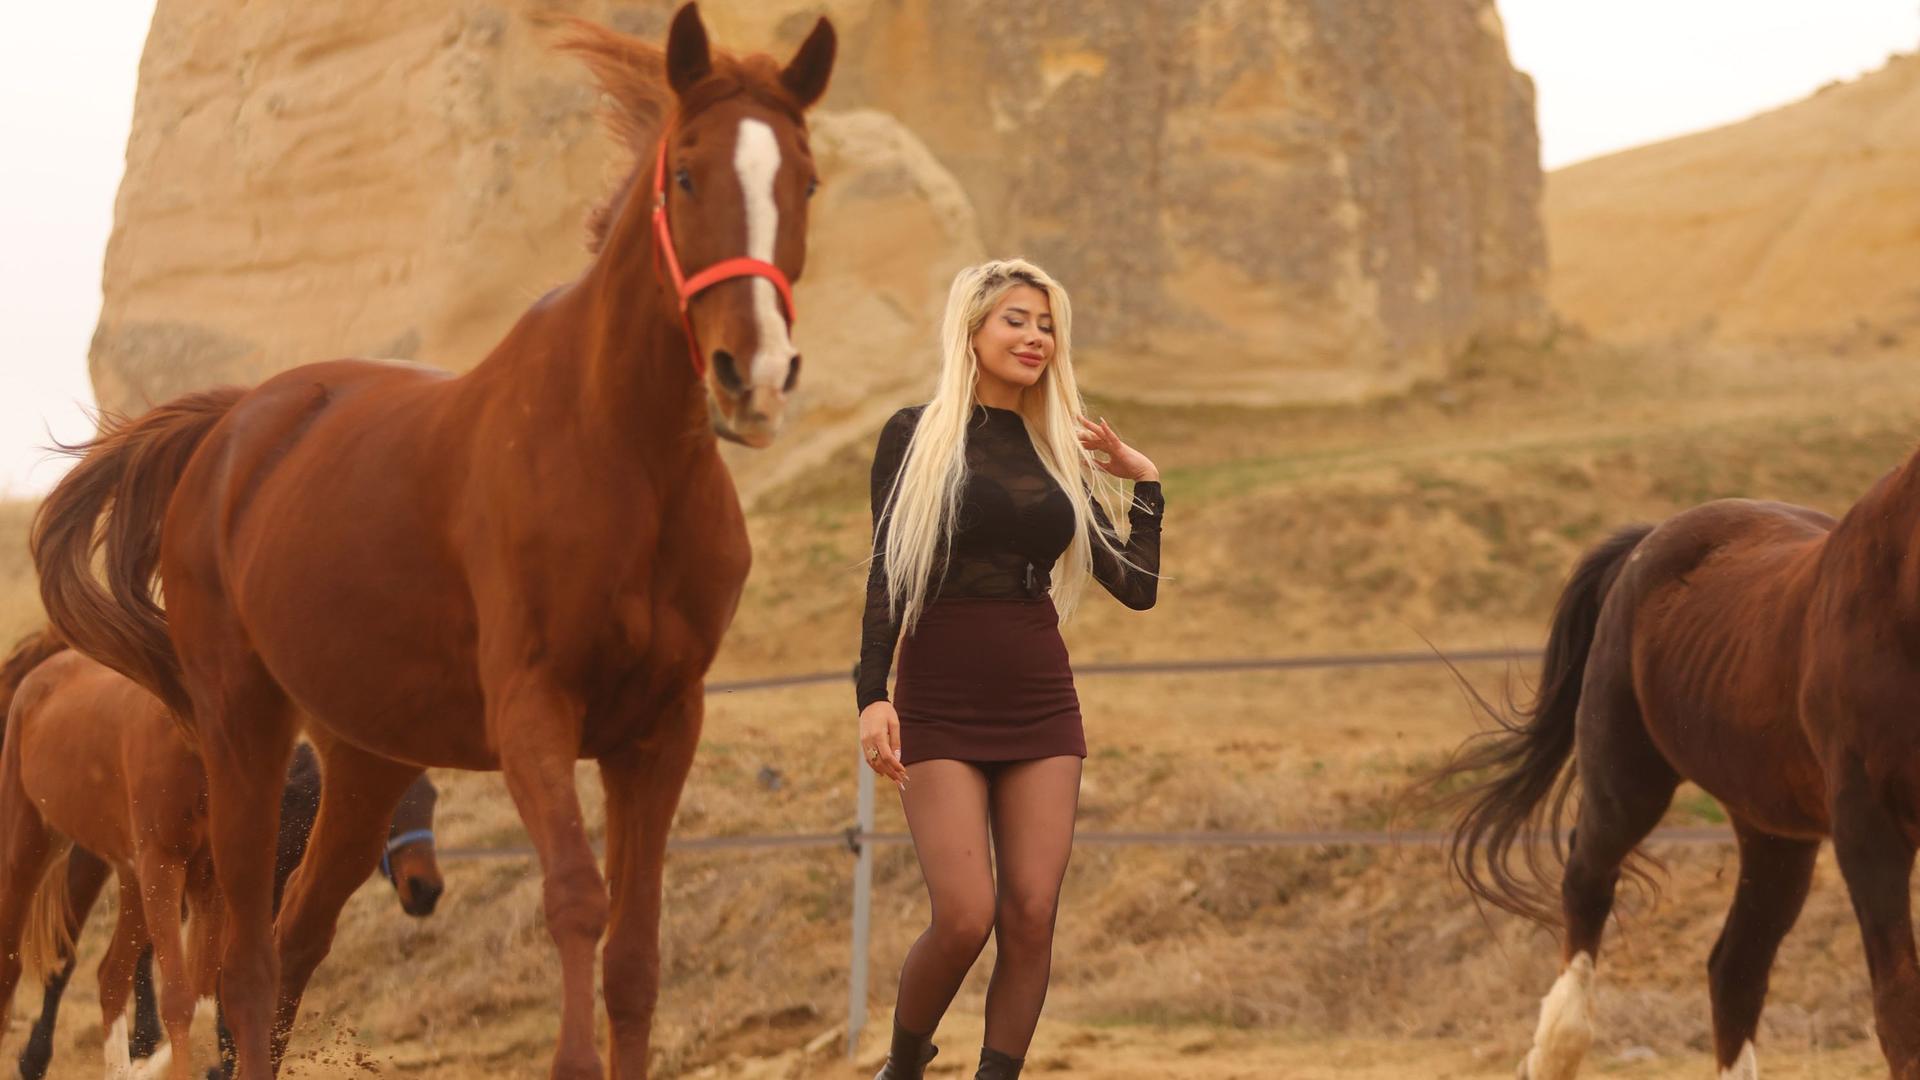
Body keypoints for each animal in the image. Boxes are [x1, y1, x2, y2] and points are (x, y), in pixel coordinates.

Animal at [30, 5, 836, 1076]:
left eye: (805, 180)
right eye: (687, 175)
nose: (755, 375)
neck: (620, 457)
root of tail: (234, 425)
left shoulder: (662, 729)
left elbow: (634, 954)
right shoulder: (535, 712)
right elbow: (575, 904)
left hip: (363, 765)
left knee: (293, 948)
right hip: (241, 734)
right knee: (243, 966)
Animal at [1427, 447, 1920, 1080]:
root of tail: (1650, 541)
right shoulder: (1869, 831)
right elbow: (1899, 1010)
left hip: (1773, 833)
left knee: (1735, 969)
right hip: (1626, 786)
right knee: (1586, 887)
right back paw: (1553, 1053)